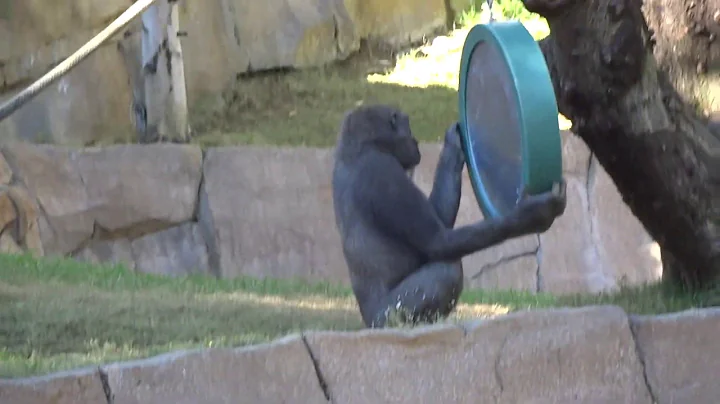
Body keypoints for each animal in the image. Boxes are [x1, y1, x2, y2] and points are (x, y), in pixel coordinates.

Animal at [332, 104, 567, 328]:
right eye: (408, 125)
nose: (415, 140)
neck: (365, 147)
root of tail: (366, 322)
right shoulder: (383, 172)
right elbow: (438, 241)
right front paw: (532, 213)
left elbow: (440, 223)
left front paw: (452, 148)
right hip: (384, 317)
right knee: (446, 270)